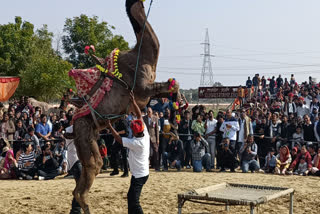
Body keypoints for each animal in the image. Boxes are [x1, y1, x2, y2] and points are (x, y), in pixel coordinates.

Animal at [72, 0, 180, 213]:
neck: (142, 55)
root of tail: (72, 124)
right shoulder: (142, 89)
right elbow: (172, 85)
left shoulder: (147, 95)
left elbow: (172, 87)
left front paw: (175, 123)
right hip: (84, 132)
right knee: (90, 171)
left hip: (88, 138)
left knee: (85, 176)